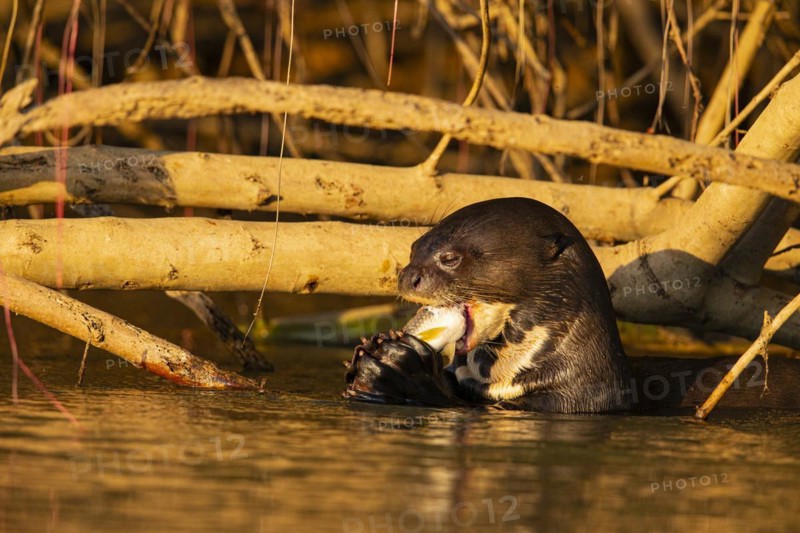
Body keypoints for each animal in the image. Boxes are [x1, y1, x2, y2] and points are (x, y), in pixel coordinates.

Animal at [344, 197, 800, 414]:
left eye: (450, 258)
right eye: (414, 247)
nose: (407, 277)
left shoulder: (571, 403)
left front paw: (398, 368)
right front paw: (368, 353)